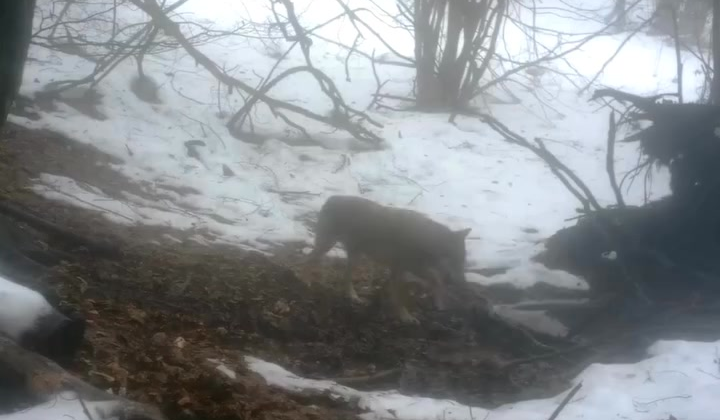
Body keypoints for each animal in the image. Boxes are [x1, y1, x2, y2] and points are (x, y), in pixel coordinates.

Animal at [305, 195, 472, 324]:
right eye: (456, 260)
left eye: (463, 260)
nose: (463, 283)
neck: (425, 239)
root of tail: (333, 198)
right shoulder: (403, 268)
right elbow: (400, 295)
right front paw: (405, 317)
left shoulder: (402, 268)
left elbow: (435, 281)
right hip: (327, 245)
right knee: (308, 260)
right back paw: (307, 282)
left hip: (355, 256)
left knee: (345, 277)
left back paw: (353, 296)